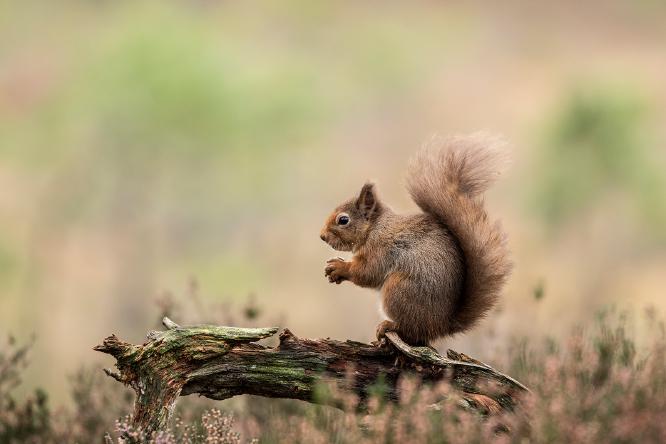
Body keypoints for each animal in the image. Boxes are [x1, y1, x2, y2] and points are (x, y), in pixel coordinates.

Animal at [320, 134, 512, 346]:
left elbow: (367, 272)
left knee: (411, 329)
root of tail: (441, 325)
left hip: (398, 289)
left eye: (343, 220)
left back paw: (389, 325)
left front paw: (339, 267)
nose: (322, 236)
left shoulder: (381, 249)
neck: (374, 228)